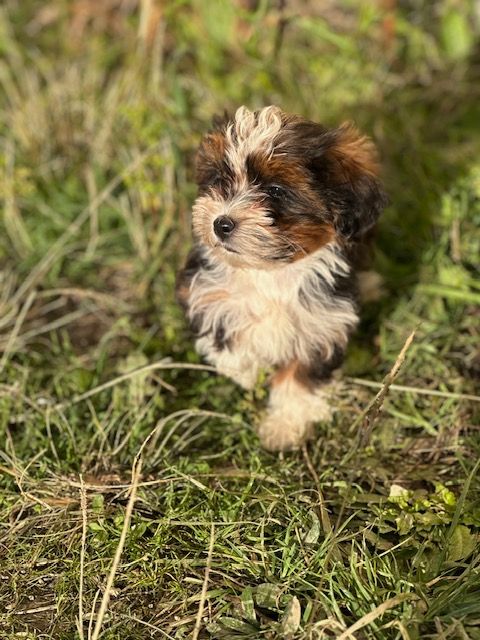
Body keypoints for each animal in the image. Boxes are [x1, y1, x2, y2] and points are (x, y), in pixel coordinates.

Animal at [177, 106, 387, 451]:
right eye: (221, 180)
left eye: (275, 190)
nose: (221, 223)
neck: (269, 271)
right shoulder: (204, 291)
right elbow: (224, 336)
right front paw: (249, 371)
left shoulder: (320, 325)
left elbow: (299, 378)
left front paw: (285, 427)